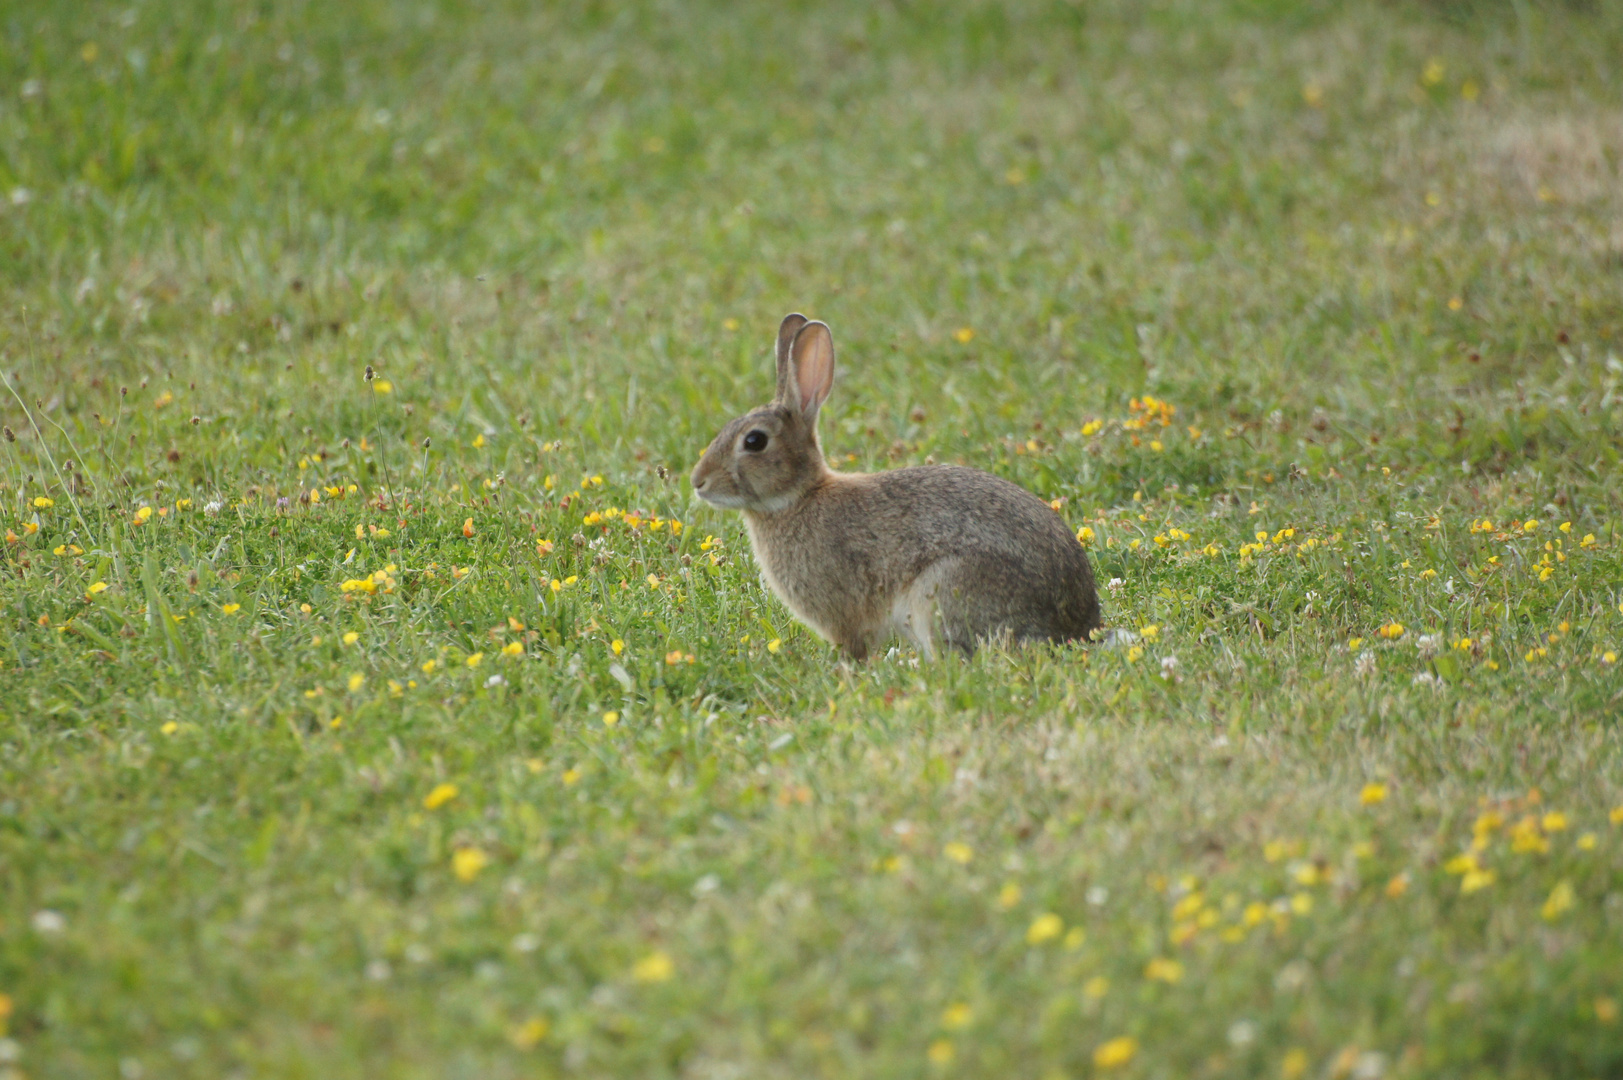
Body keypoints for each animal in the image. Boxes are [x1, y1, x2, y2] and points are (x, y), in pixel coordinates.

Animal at [688, 316, 1103, 662]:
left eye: (754, 441)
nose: (698, 481)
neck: (799, 497)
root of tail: (1078, 627)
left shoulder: (843, 611)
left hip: (943, 591)